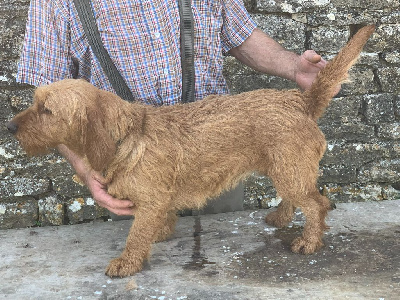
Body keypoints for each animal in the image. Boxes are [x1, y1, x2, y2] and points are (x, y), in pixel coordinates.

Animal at [7, 25, 376, 276]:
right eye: (35, 102)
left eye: (46, 110)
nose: (9, 128)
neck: (128, 137)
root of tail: (300, 99)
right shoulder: (158, 199)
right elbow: (154, 223)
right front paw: (159, 233)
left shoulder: (150, 200)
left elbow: (136, 234)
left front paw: (127, 261)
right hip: (285, 170)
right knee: (298, 198)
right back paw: (281, 217)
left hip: (290, 172)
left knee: (316, 205)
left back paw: (309, 241)